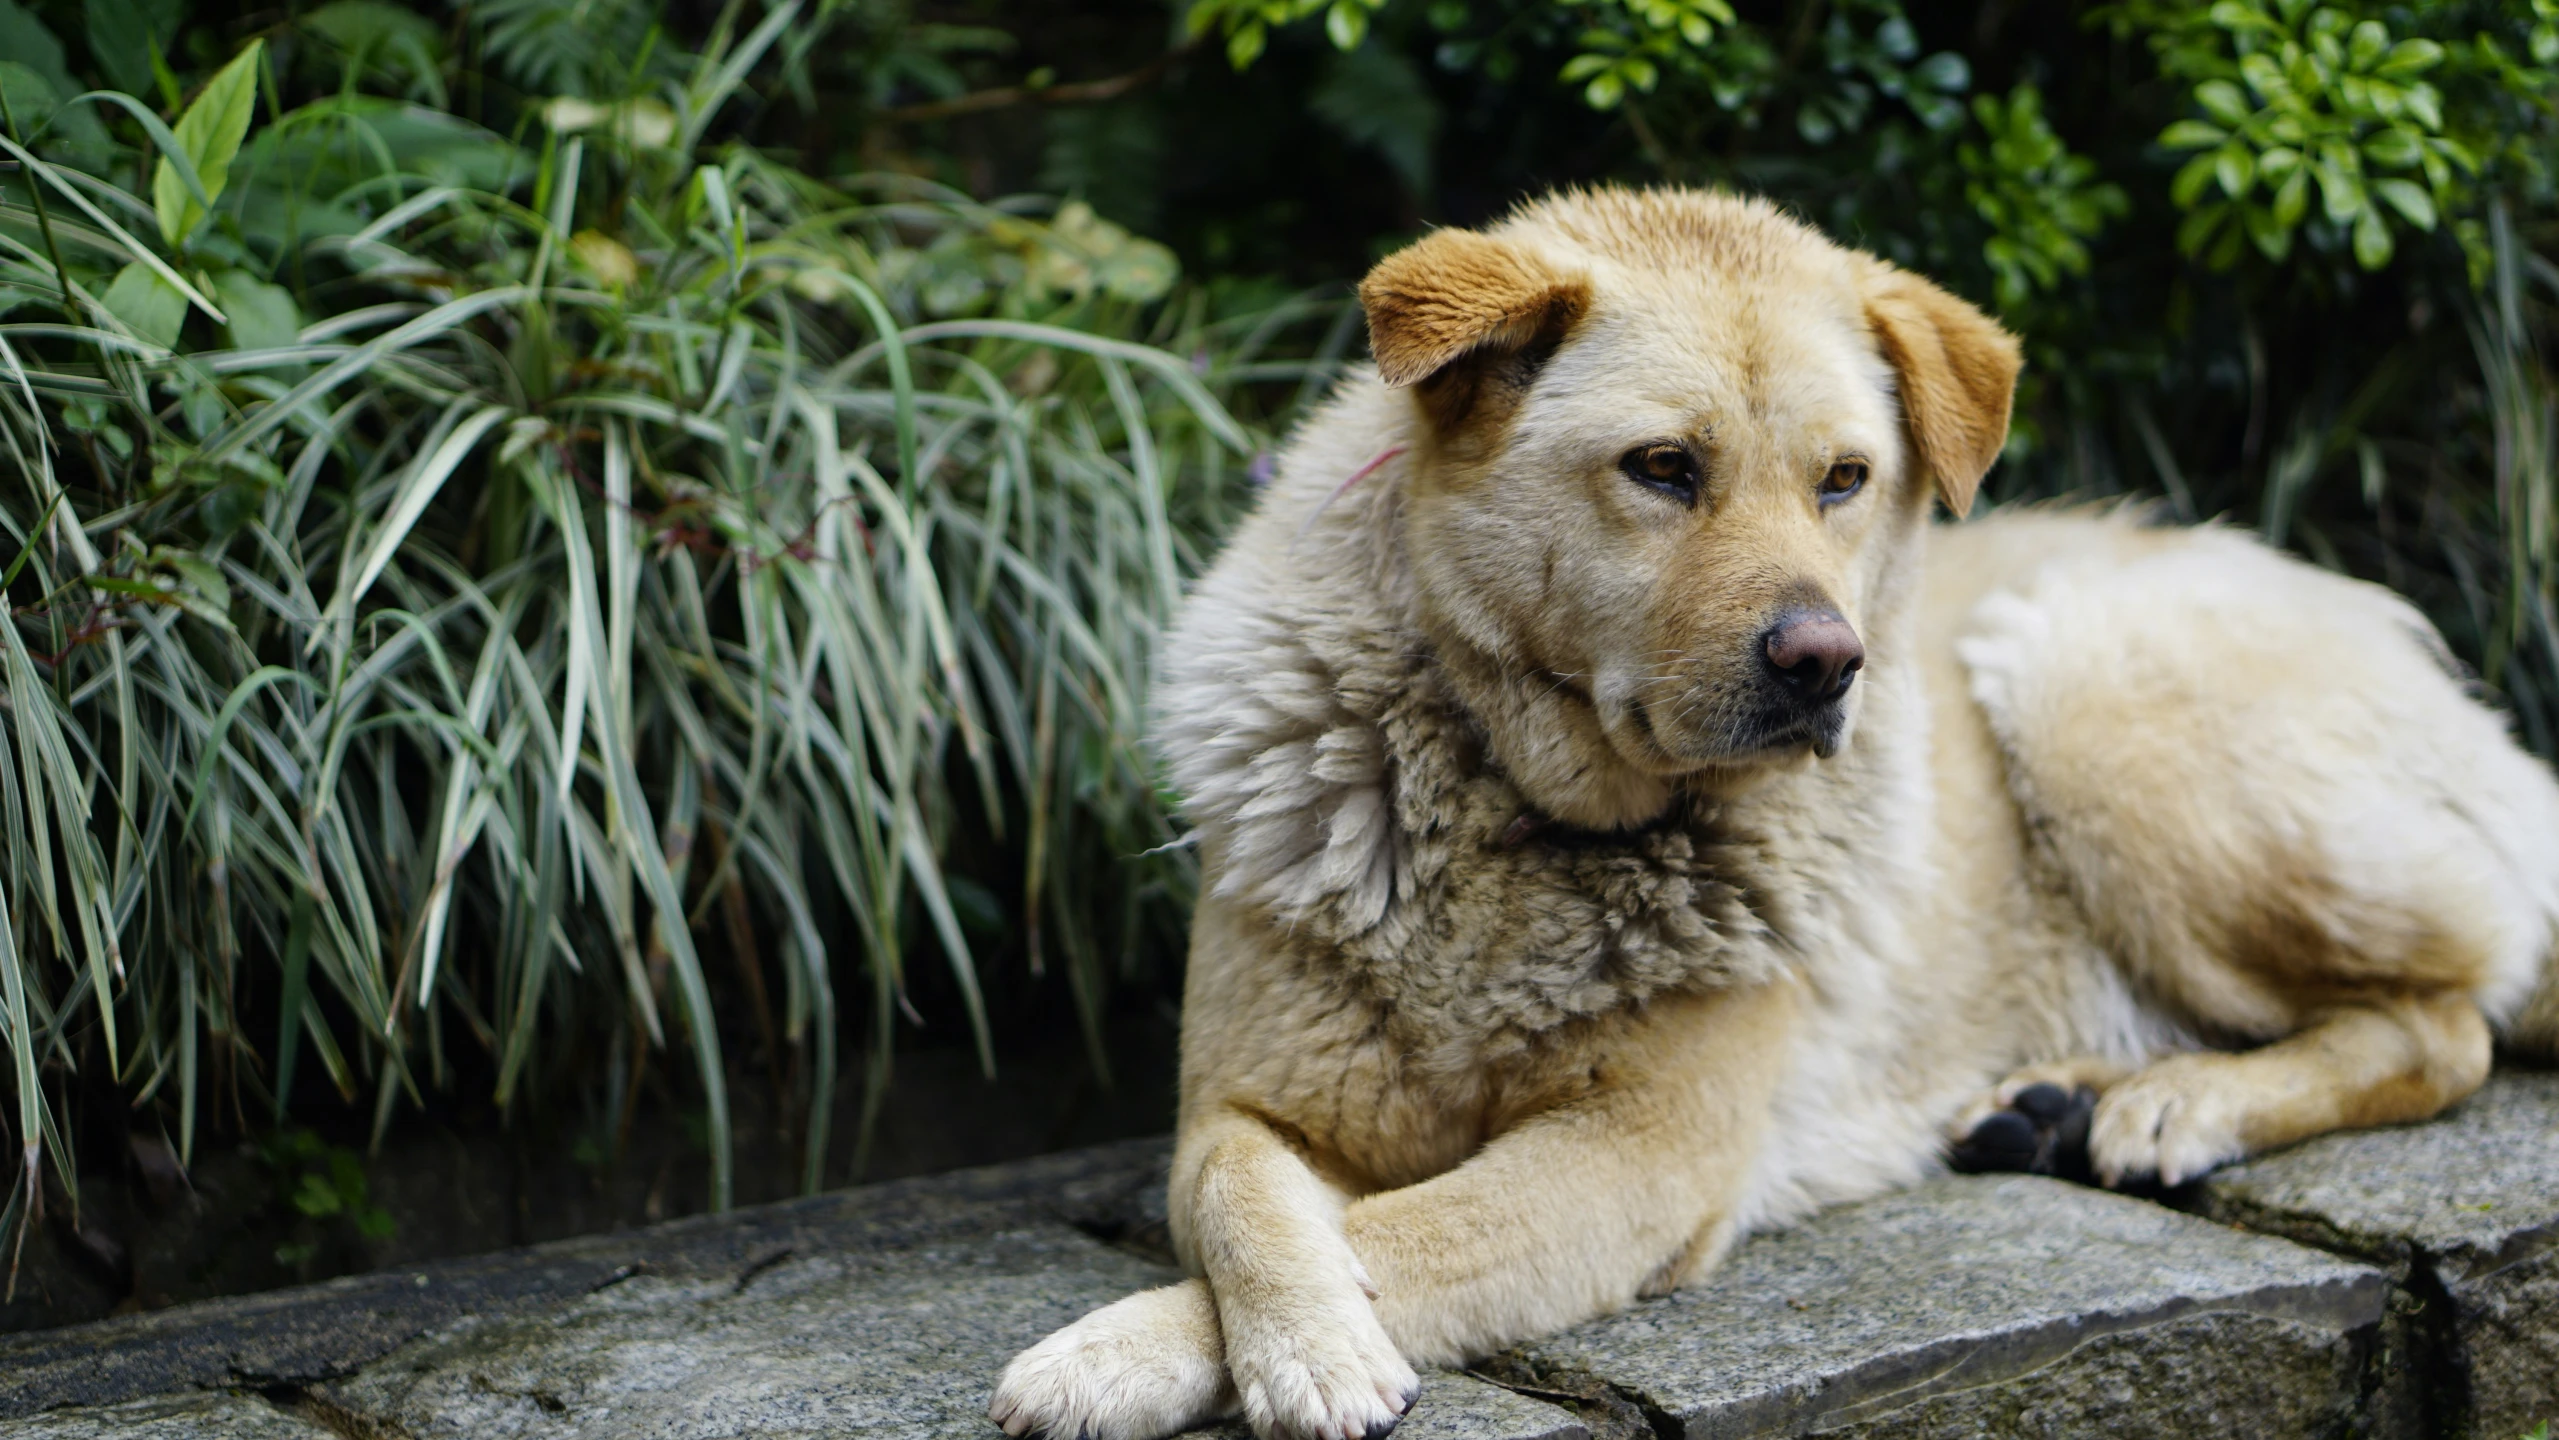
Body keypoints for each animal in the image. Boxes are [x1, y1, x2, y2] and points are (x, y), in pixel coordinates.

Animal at [982, 189, 2559, 1440]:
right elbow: (1240, 1204)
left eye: (1843, 481)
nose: (1823, 662)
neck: (1517, 810)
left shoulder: (1640, 1156)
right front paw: (1285, 1336)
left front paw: (1135, 1352)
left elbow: (1409, 1230)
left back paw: (2178, 1105)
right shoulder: (1242, 1098)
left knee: (2443, 1026)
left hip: (2083, 685)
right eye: (1662, 468)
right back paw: (2053, 1103)